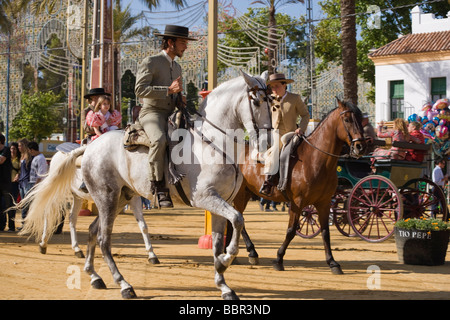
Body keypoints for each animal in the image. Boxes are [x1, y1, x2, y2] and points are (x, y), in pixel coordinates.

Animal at [230, 98, 368, 276]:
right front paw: (279, 259)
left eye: (360, 119)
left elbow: (325, 232)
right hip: (240, 195)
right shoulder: (297, 202)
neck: (315, 160)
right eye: (347, 120)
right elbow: (291, 230)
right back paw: (251, 252)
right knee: (239, 220)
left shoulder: (324, 203)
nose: (361, 147)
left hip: (245, 193)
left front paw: (332, 262)